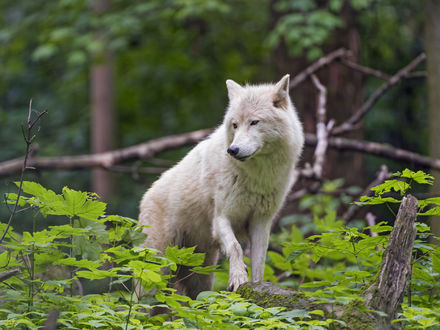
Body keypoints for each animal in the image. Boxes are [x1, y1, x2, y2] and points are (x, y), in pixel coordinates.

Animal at [138, 75, 302, 300]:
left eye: (254, 122)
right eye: (235, 125)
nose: (233, 150)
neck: (257, 176)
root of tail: (145, 196)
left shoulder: (261, 221)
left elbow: (259, 262)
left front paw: (256, 287)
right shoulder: (222, 218)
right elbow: (236, 248)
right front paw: (238, 279)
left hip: (201, 271)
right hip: (158, 268)